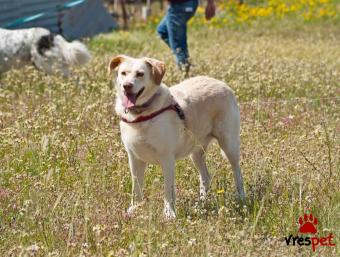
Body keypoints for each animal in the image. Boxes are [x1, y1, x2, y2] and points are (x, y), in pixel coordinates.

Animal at [110, 55, 246, 217]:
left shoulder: (167, 159)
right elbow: (136, 189)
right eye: (123, 73)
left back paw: (241, 197)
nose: (127, 86)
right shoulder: (134, 158)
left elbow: (168, 191)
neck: (141, 115)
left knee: (237, 172)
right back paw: (201, 203)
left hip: (229, 144)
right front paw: (134, 209)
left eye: (140, 74)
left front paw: (169, 214)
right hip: (196, 152)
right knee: (205, 177)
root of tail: (221, 83)